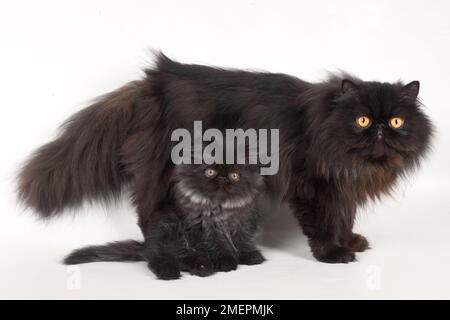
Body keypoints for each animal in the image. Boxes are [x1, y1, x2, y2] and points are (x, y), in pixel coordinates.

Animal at [65, 164, 266, 278]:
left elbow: (243, 240)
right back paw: (178, 270)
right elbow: (218, 245)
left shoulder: (244, 221)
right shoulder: (204, 230)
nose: (223, 179)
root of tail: (146, 244)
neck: (222, 208)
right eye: (210, 172)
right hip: (169, 228)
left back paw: (199, 268)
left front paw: (249, 255)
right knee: (160, 258)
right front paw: (226, 261)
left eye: (234, 176)